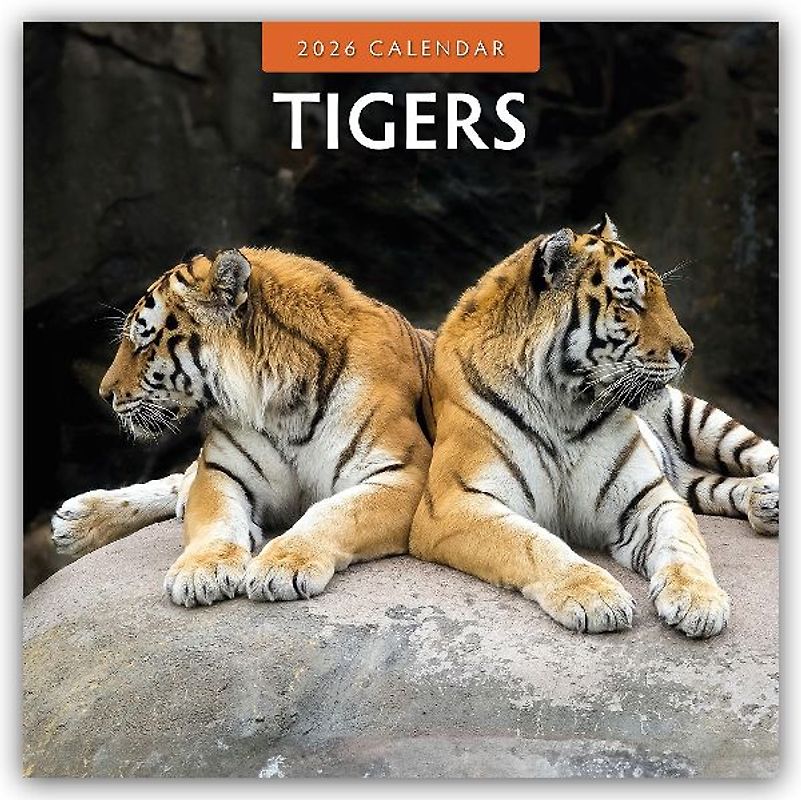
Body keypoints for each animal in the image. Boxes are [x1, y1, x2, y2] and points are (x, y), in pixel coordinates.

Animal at [51, 247, 433, 607]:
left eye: (143, 343)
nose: (105, 394)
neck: (282, 405)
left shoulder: (404, 474)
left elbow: (332, 513)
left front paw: (282, 566)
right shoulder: (221, 470)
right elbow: (216, 520)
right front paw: (201, 572)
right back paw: (77, 519)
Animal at [409, 214, 779, 638]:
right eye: (629, 302)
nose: (687, 352)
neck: (563, 405)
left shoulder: (649, 497)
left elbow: (683, 545)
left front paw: (698, 600)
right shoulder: (456, 501)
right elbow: (532, 544)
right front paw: (597, 597)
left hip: (699, 418)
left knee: (764, 454)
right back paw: (763, 501)